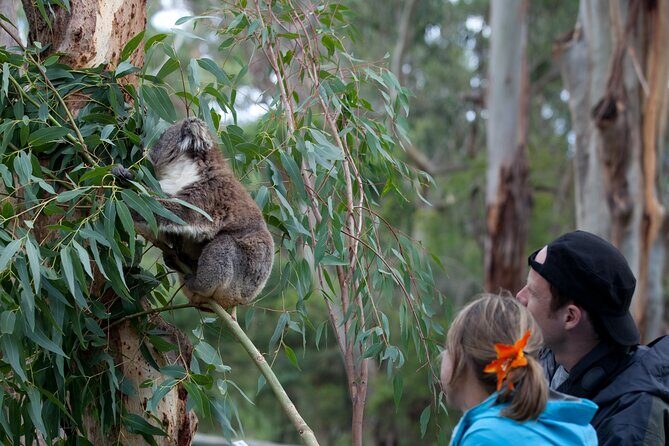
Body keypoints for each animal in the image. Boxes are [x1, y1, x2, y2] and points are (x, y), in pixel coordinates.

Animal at [112, 117, 274, 309]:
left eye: (161, 137)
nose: (144, 147)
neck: (184, 169)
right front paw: (123, 174)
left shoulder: (208, 194)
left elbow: (178, 214)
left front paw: (128, 207)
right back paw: (176, 260)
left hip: (241, 278)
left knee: (222, 247)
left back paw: (196, 281)